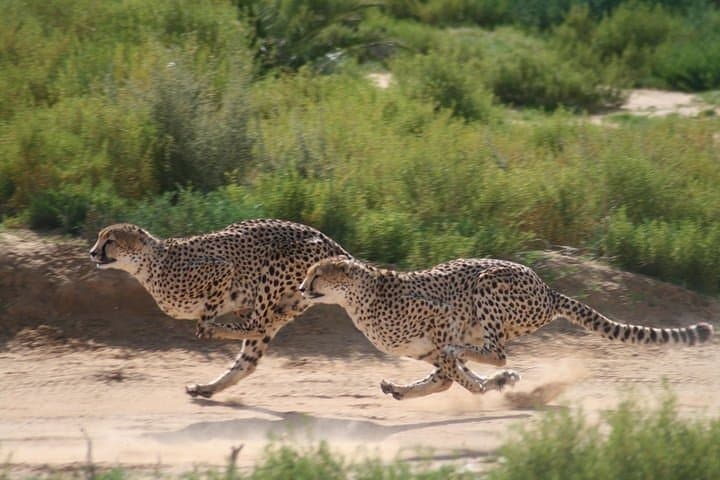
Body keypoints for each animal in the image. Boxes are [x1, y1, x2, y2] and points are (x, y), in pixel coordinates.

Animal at [90, 219, 350, 398]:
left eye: (111, 240)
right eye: (100, 238)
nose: (92, 252)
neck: (151, 263)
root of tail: (332, 243)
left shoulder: (222, 268)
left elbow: (209, 312)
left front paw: (207, 326)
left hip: (275, 269)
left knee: (257, 326)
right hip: (291, 296)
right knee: (249, 356)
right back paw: (206, 388)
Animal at [299, 256, 714, 400]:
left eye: (316, 274)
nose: (301, 288)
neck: (358, 297)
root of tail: (548, 290)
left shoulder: (442, 321)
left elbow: (458, 372)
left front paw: (492, 385)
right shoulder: (426, 349)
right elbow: (448, 378)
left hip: (487, 284)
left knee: (497, 353)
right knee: (479, 358)